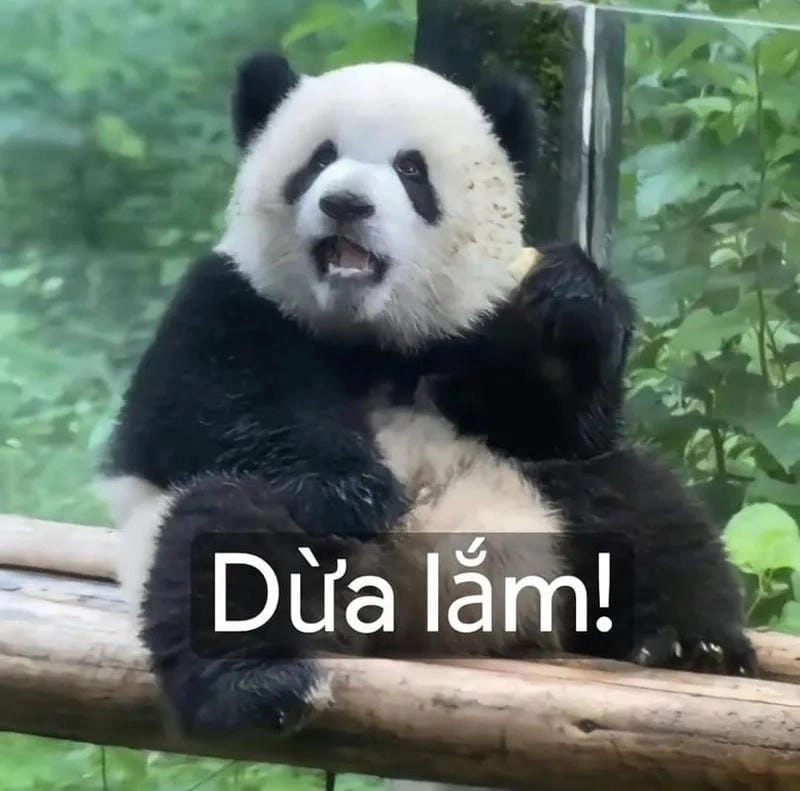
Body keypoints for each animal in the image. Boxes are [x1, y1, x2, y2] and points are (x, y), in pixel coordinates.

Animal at [97, 50, 757, 738]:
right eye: (318, 159)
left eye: (410, 169)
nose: (345, 204)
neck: (372, 332)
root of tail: (411, 608)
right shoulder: (231, 299)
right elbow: (206, 408)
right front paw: (351, 491)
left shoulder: (475, 332)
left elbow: (564, 423)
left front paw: (571, 298)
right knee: (227, 533)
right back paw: (258, 687)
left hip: (541, 507)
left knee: (642, 503)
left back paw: (693, 644)